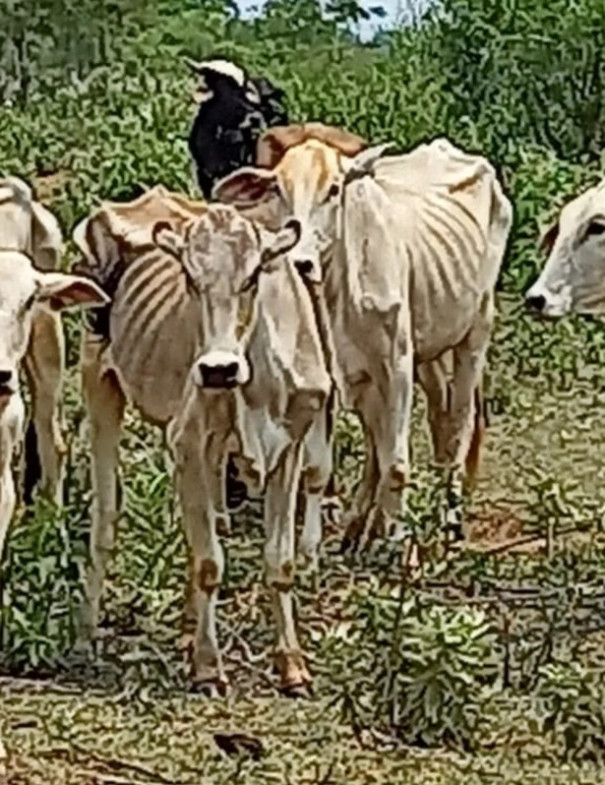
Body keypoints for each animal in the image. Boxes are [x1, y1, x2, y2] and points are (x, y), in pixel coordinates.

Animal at [215, 124, 512, 552]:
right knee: (421, 424)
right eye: (279, 190)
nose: (300, 260)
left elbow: (397, 461)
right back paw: (363, 525)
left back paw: (449, 521)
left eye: (334, 189)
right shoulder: (336, 375)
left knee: (458, 422)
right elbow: (340, 459)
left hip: (475, 329)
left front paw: (398, 538)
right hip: (426, 352)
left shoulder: (397, 364)